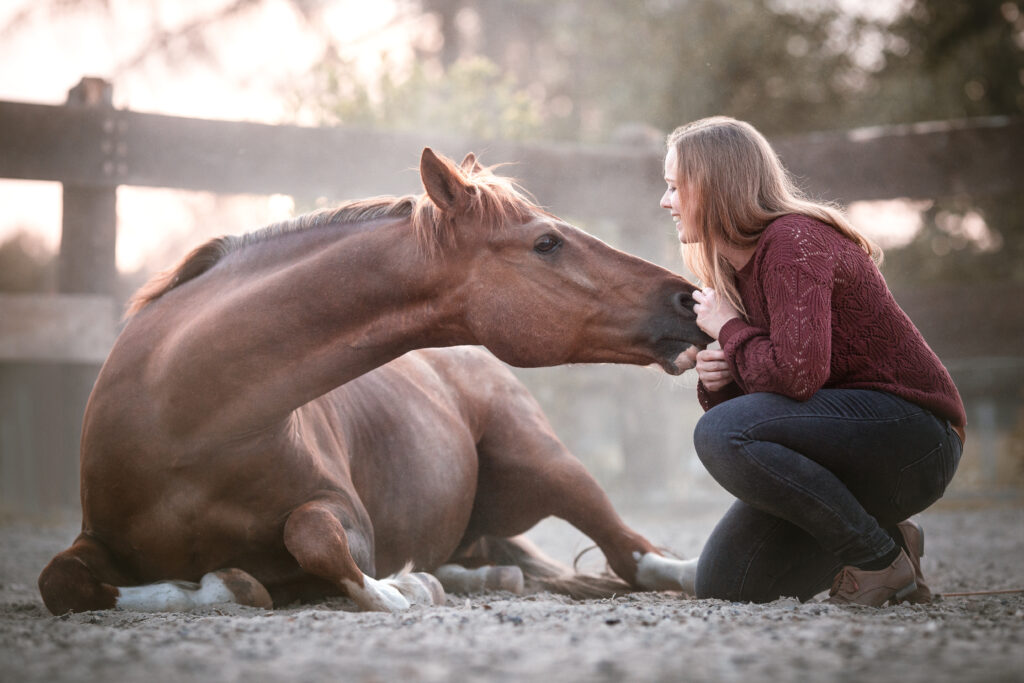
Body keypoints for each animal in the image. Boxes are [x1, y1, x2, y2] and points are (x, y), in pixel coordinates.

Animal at [37, 148, 712, 614]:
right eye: (546, 242)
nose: (687, 298)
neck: (187, 416)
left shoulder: (347, 518)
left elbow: (312, 537)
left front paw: (398, 587)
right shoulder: (99, 537)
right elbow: (61, 582)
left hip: (550, 463)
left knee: (636, 554)